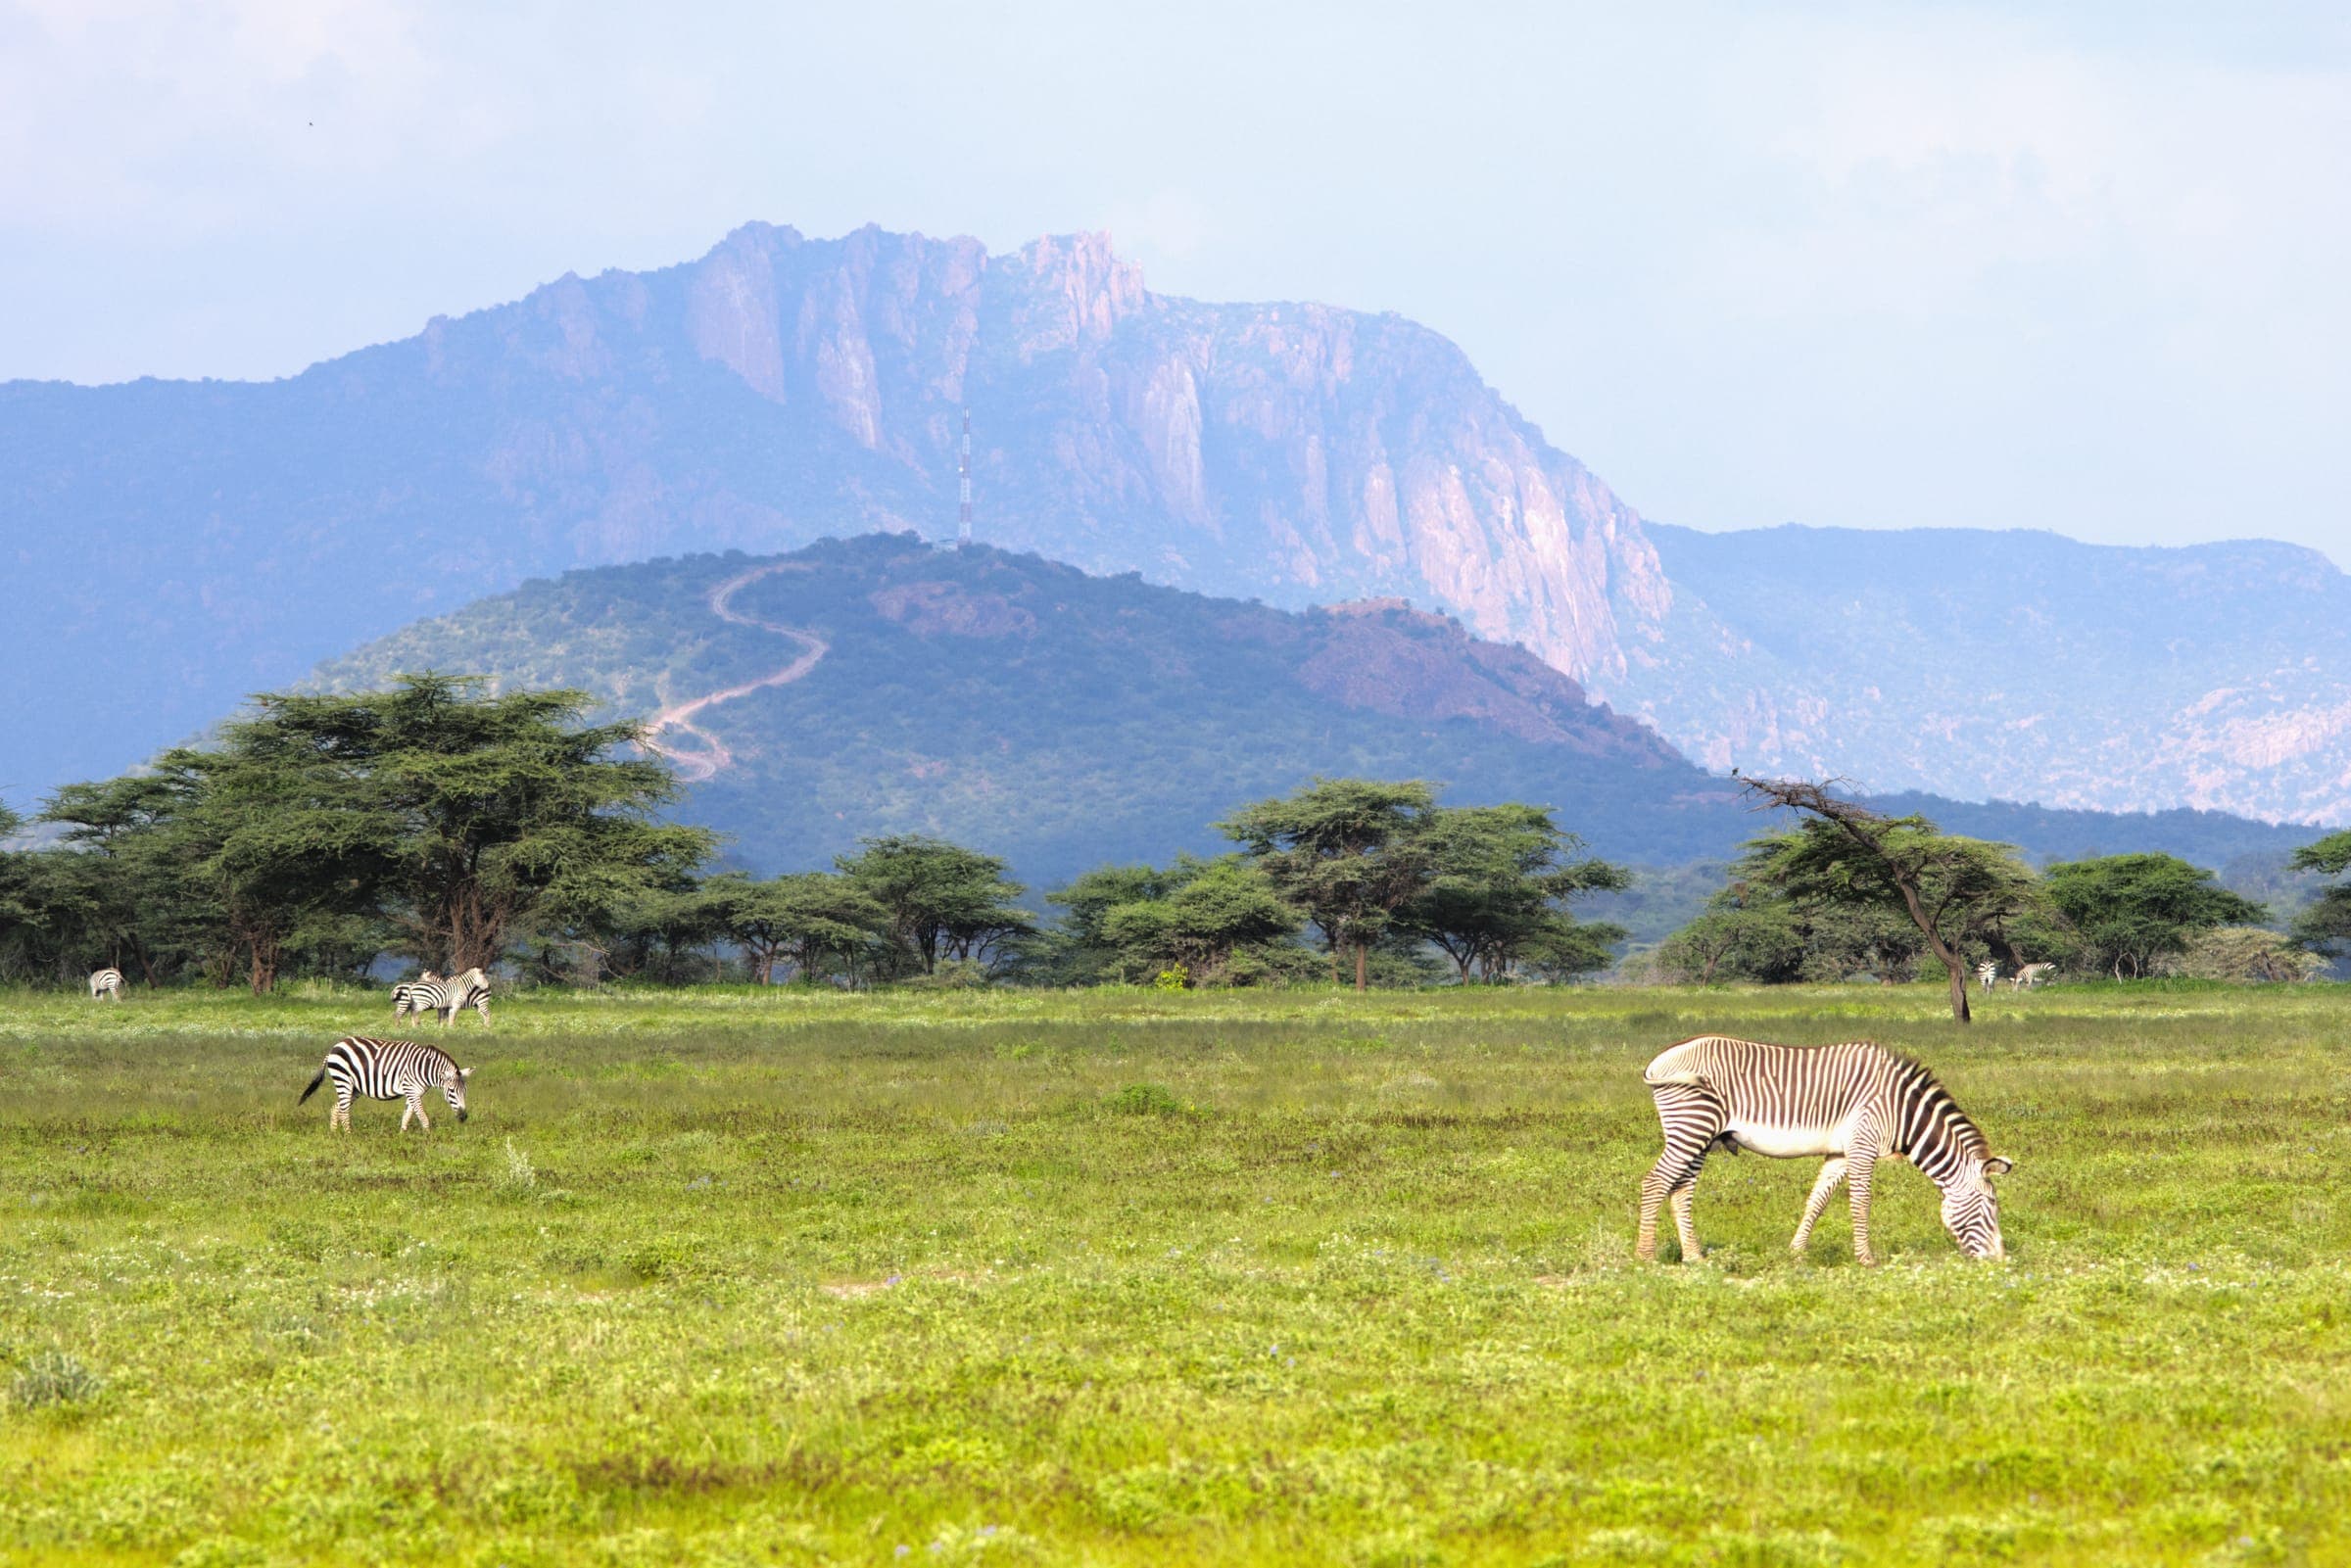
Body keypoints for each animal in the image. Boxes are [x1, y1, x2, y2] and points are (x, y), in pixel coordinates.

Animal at [299, 1036, 472, 1132]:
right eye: (451, 1091)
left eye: (465, 1092)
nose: (464, 1117)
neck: (423, 1069)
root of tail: (334, 1047)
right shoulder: (411, 1090)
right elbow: (423, 1118)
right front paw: (429, 1139)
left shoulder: (414, 1092)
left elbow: (407, 1116)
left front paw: (402, 1137)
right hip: (343, 1080)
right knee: (344, 1111)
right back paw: (349, 1136)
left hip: (355, 1088)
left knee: (336, 1108)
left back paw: (334, 1135)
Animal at [1636, 1034, 2012, 1266]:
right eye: (1991, 1205)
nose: (1999, 1260)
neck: (1902, 1110)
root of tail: (1659, 1061)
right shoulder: (1863, 1145)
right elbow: (1861, 1203)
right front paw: (1866, 1259)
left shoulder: (1841, 1153)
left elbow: (1818, 1200)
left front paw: (1796, 1253)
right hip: (1692, 1126)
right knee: (1655, 1182)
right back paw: (1645, 1256)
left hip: (1698, 1135)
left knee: (1680, 1190)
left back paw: (1694, 1257)